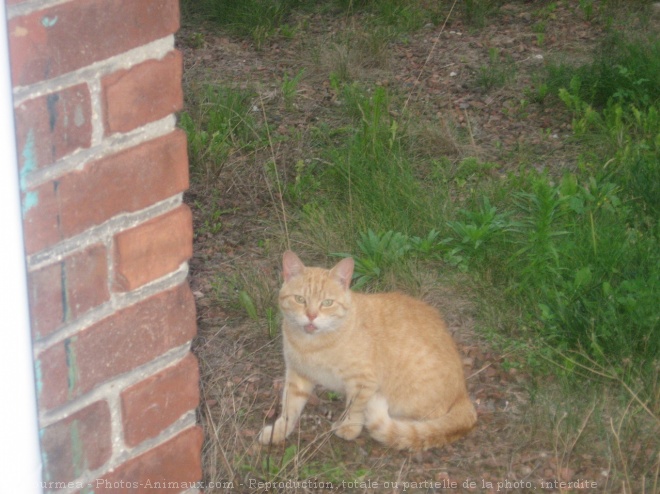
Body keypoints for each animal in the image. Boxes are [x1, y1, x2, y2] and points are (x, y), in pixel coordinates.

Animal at [255, 253, 476, 450]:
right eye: (300, 299)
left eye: (327, 303)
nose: (311, 316)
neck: (311, 344)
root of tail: (463, 392)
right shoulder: (297, 376)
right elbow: (289, 408)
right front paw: (279, 431)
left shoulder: (363, 382)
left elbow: (355, 408)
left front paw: (349, 428)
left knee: (417, 426)